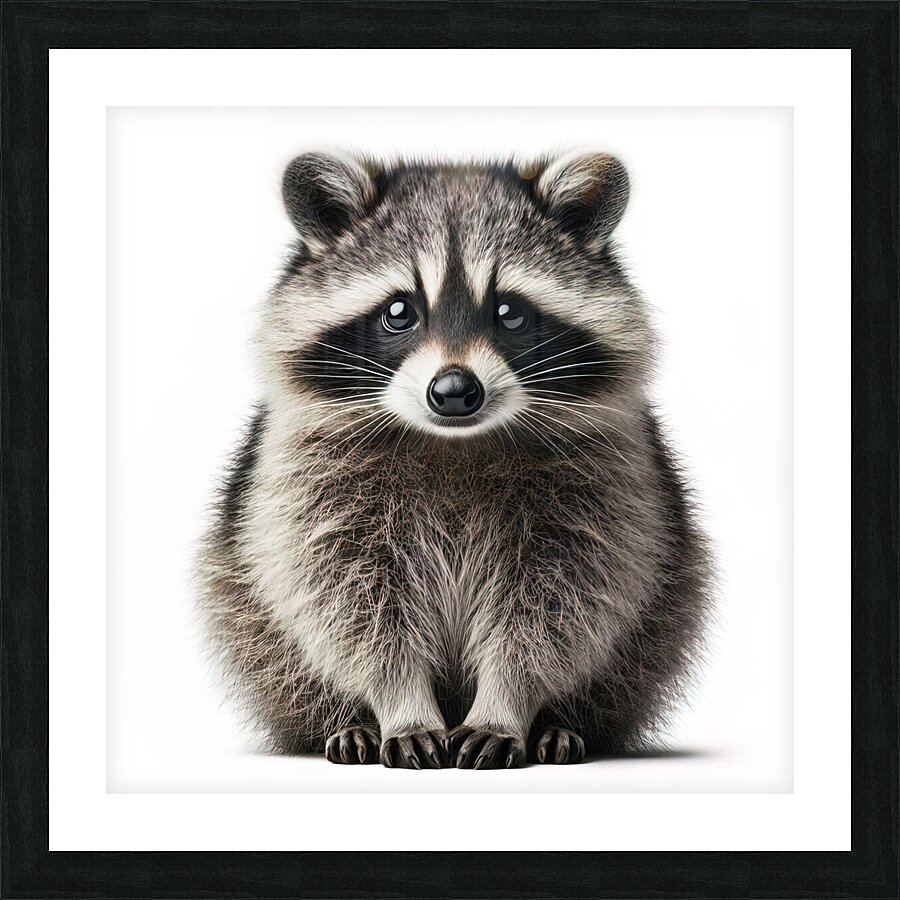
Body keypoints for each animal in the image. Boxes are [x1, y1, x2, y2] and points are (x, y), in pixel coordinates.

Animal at [197, 150, 712, 769]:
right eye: (399, 311)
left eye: (510, 313)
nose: (454, 391)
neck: (455, 442)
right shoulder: (306, 475)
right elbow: (345, 601)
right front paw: (399, 702)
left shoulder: (607, 478)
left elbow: (559, 607)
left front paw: (507, 704)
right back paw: (351, 722)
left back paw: (558, 725)